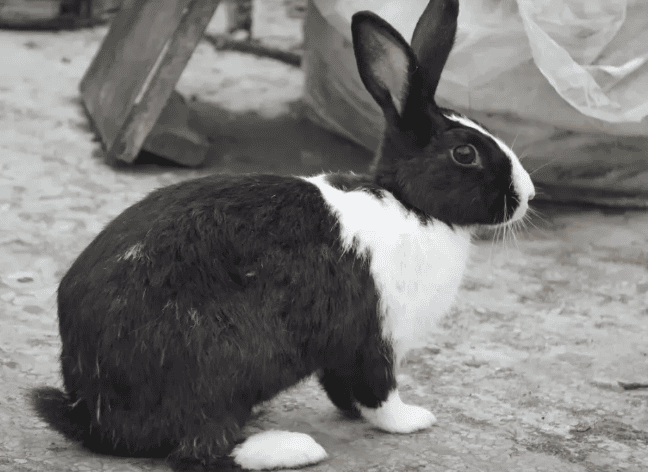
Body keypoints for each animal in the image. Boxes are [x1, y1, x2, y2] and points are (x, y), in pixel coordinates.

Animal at [33, 1, 536, 470]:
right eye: (465, 153)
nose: (528, 194)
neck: (411, 205)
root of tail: (95, 412)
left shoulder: (342, 352)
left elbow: (342, 391)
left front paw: (356, 415)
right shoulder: (375, 338)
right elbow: (379, 394)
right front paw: (413, 420)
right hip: (223, 363)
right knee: (199, 450)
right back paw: (293, 448)